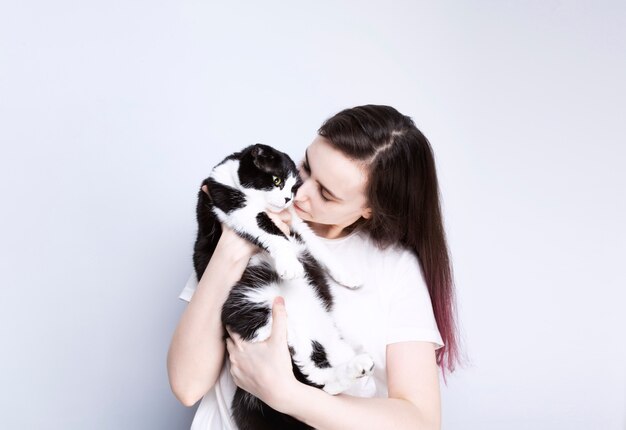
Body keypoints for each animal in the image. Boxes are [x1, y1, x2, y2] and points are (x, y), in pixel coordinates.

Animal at [193, 144, 372, 430]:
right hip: (262, 316)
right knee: (314, 379)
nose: (288, 199)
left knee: (316, 377)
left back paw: (356, 366)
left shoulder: (295, 221)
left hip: (326, 338)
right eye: (276, 180)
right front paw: (290, 265)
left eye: (293, 188)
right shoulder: (230, 202)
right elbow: (270, 230)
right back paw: (352, 371)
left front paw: (347, 276)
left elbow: (317, 244)